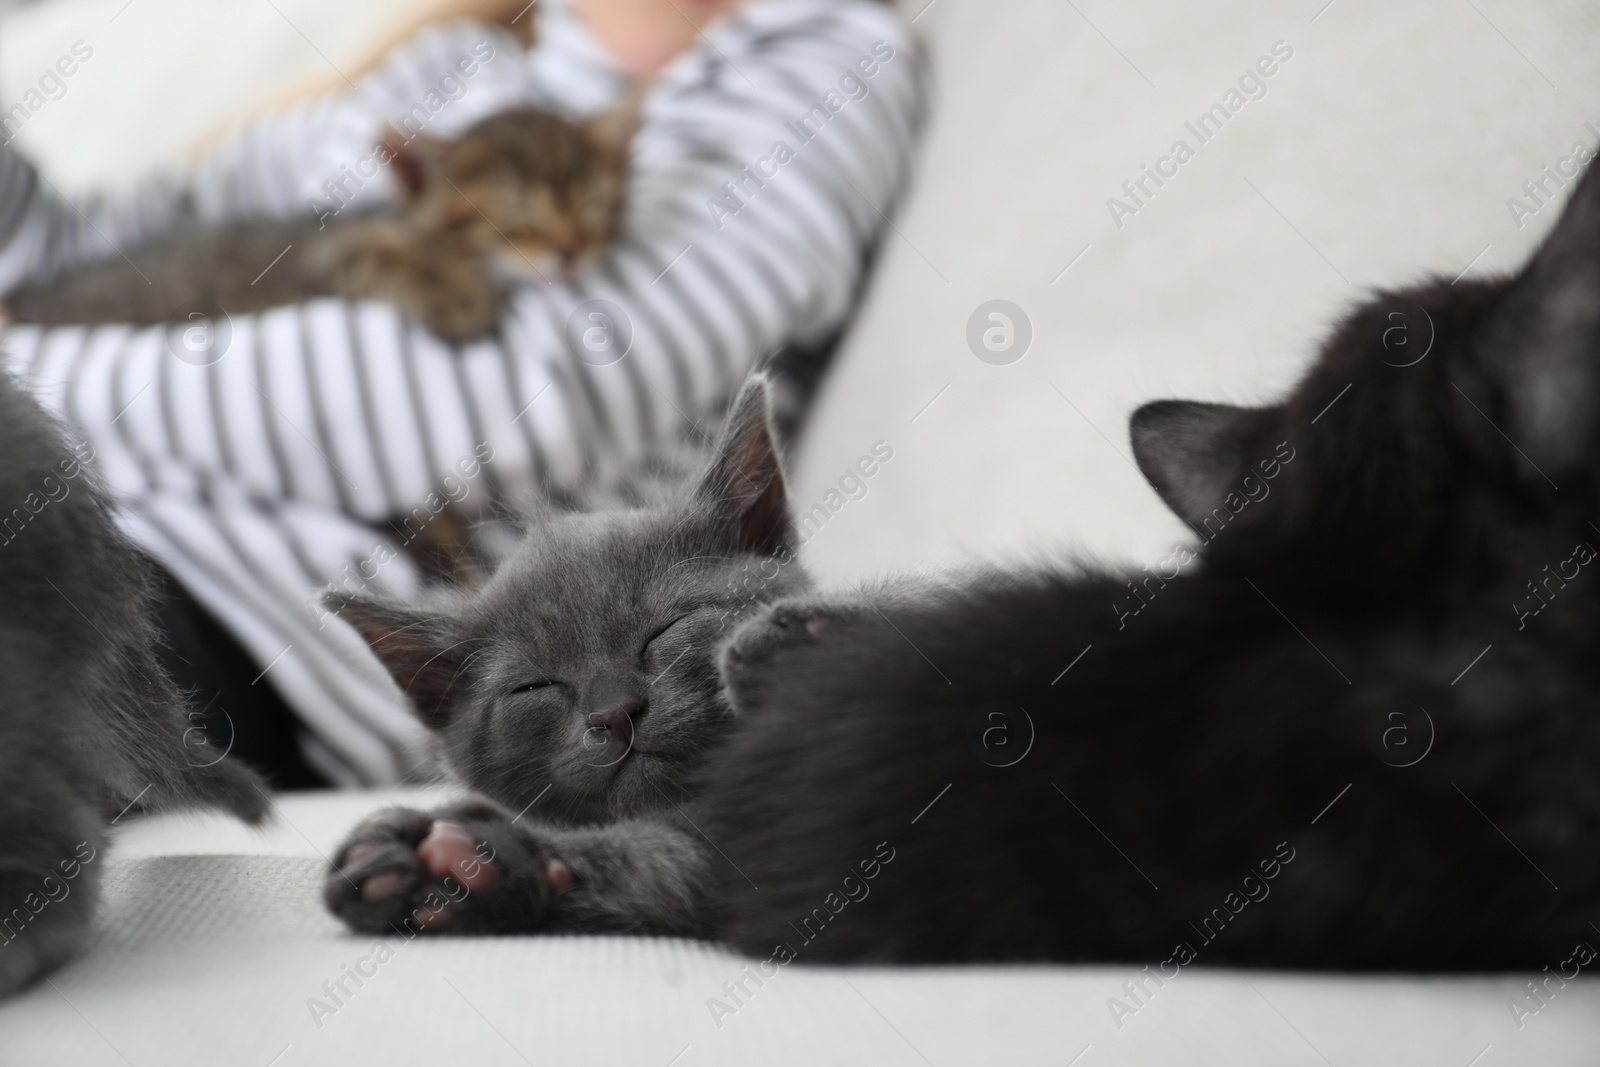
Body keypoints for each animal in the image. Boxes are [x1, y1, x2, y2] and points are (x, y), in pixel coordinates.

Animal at [3, 102, 633, 340]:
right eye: (516, 217)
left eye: (595, 207)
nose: (571, 250)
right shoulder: (326, 250)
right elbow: (381, 254)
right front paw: (456, 294)